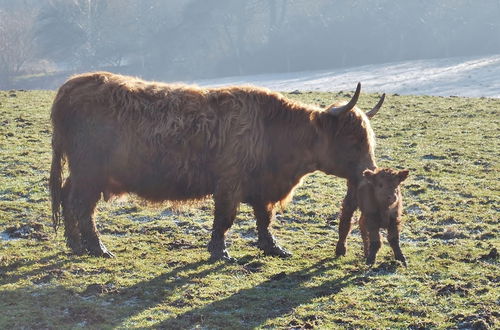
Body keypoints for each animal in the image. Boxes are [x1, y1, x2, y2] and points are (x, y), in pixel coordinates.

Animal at [48, 72, 384, 260]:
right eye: (353, 140)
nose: (369, 173)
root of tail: (70, 86)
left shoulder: (261, 187)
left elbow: (264, 219)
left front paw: (273, 248)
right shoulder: (229, 184)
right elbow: (224, 219)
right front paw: (220, 253)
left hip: (81, 172)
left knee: (66, 196)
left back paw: (74, 245)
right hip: (90, 172)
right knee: (82, 206)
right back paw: (96, 248)